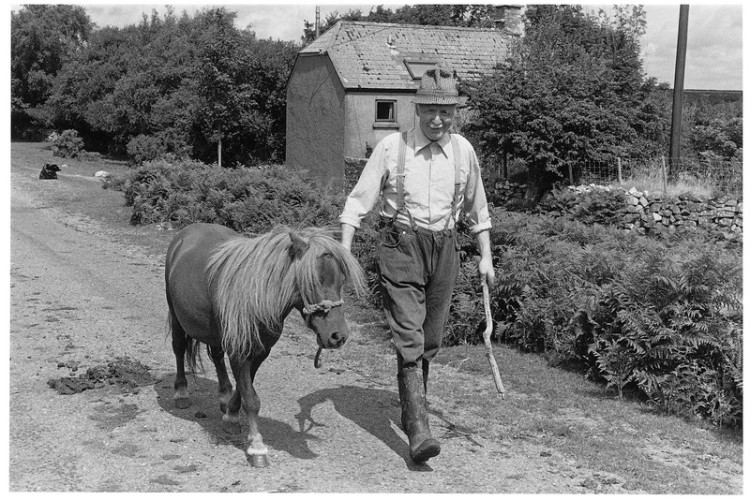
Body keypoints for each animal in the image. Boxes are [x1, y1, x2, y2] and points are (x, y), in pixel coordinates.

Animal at [164, 222, 365, 467]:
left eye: (342, 281)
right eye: (313, 281)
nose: (338, 336)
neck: (256, 296)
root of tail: (187, 232)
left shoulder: (260, 352)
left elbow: (244, 389)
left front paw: (231, 415)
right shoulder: (240, 352)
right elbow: (251, 398)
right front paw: (257, 448)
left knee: (217, 356)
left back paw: (223, 395)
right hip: (176, 316)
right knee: (179, 349)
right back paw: (181, 392)